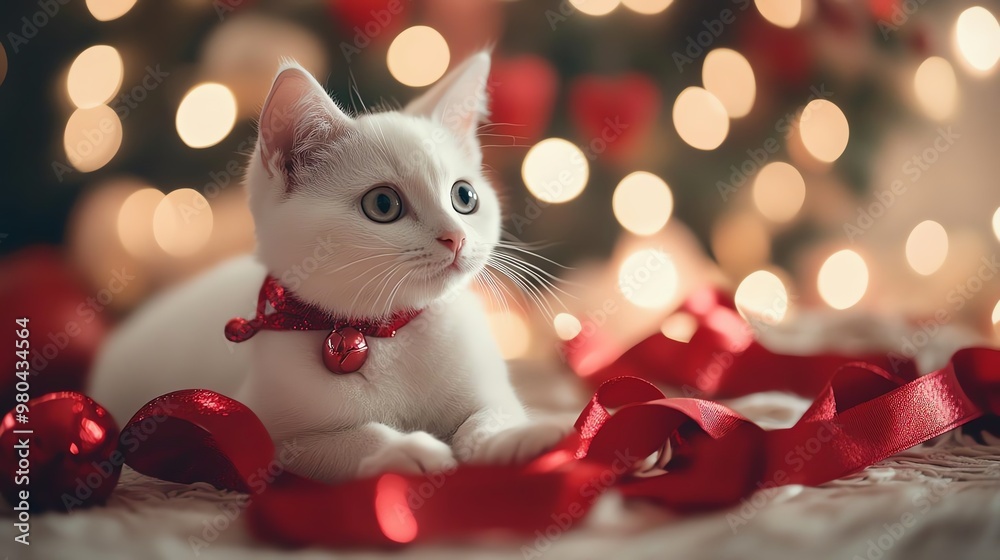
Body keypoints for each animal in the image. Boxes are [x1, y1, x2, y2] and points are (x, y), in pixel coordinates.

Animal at [89, 53, 568, 482]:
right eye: (383, 204)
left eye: (465, 197)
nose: (456, 237)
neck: (388, 334)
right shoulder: (270, 433)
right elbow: (344, 440)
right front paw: (404, 450)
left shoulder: (486, 386)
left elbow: (490, 416)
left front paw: (519, 438)